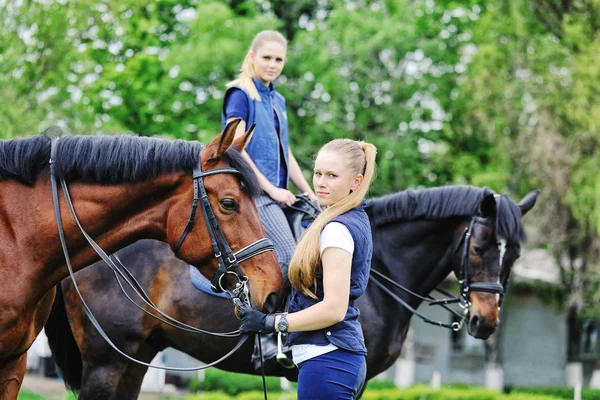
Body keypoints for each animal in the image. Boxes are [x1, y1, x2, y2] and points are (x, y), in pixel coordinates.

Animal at [45, 186, 540, 398]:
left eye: (513, 253)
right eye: (479, 246)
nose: (485, 321)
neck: (380, 268)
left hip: (136, 357)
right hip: (107, 360)